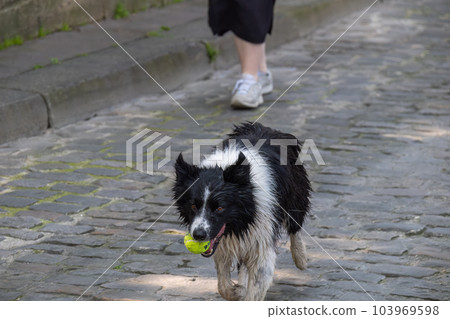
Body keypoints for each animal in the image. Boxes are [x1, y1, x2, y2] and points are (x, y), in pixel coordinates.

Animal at [172, 124, 310, 302]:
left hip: (296, 194)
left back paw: (301, 258)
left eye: (220, 208)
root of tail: (269, 128)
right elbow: (223, 285)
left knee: (295, 226)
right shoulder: (226, 241)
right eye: (193, 206)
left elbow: (257, 283)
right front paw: (238, 290)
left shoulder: (261, 239)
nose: (199, 235)